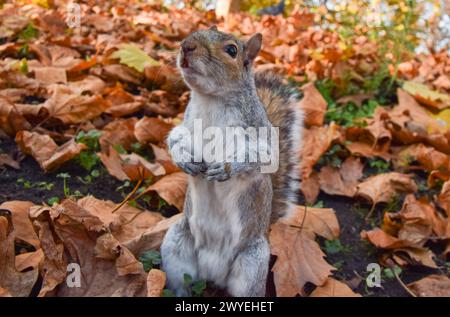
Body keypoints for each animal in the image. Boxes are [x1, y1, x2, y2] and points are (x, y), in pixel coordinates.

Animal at [160, 25, 304, 296]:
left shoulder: (260, 136)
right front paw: (185, 160)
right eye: (197, 30)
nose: (186, 46)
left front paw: (226, 168)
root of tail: (212, 272)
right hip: (176, 243)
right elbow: (175, 139)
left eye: (231, 50)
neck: (211, 100)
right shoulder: (186, 126)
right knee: (180, 282)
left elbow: (261, 156)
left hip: (251, 264)